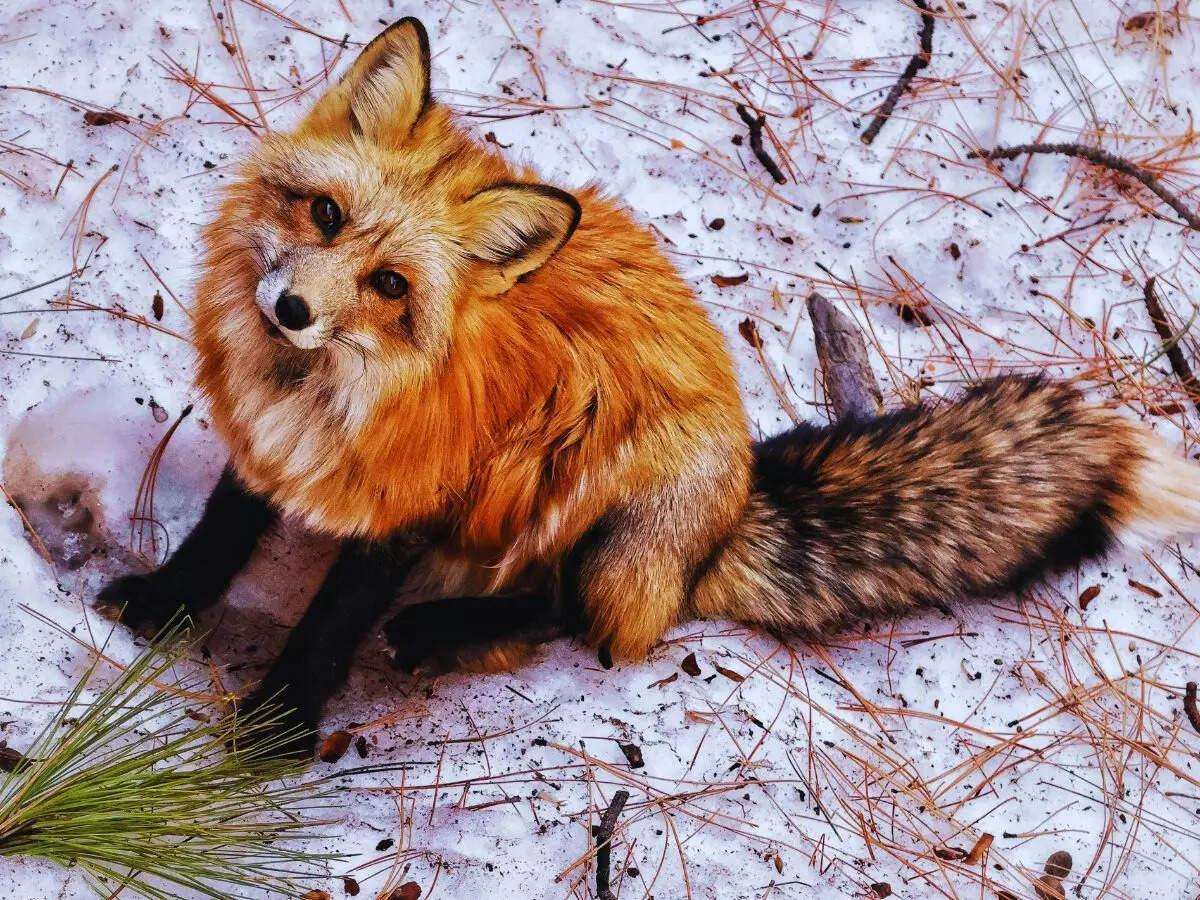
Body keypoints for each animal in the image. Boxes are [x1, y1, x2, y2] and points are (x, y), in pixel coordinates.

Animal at [97, 17, 1200, 756]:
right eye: (324, 213)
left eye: (391, 285)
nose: (288, 310)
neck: (321, 393)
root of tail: (737, 503)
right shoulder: (273, 445)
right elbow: (222, 535)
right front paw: (166, 600)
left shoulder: (414, 501)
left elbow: (328, 624)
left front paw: (281, 726)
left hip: (598, 505)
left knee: (579, 621)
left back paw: (441, 630)